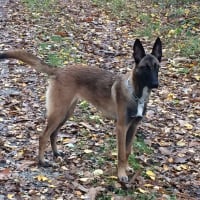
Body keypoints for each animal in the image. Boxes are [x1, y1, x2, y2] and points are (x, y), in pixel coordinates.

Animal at [0, 38, 162, 183]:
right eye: (145, 67)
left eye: (157, 67)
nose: (156, 84)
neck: (136, 94)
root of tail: (59, 70)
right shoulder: (121, 127)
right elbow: (121, 153)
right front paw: (121, 174)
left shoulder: (133, 127)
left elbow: (128, 151)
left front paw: (127, 169)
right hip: (58, 113)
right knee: (43, 136)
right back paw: (42, 161)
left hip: (66, 113)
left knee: (53, 133)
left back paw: (56, 153)